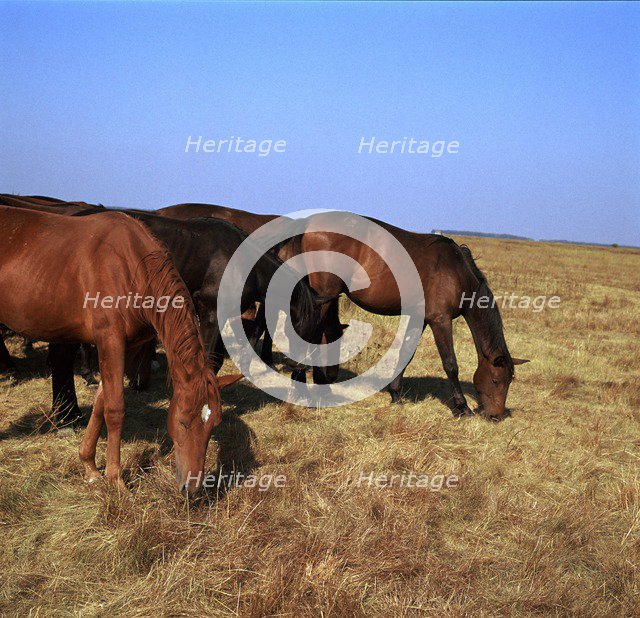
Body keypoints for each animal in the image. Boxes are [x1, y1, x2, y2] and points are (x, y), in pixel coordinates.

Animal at [0, 206, 240, 494]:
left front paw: (90, 467)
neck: (130, 267)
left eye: (214, 424)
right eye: (183, 421)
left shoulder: (124, 346)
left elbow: (100, 404)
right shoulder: (110, 340)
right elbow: (115, 410)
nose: (191, 490)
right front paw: (116, 480)